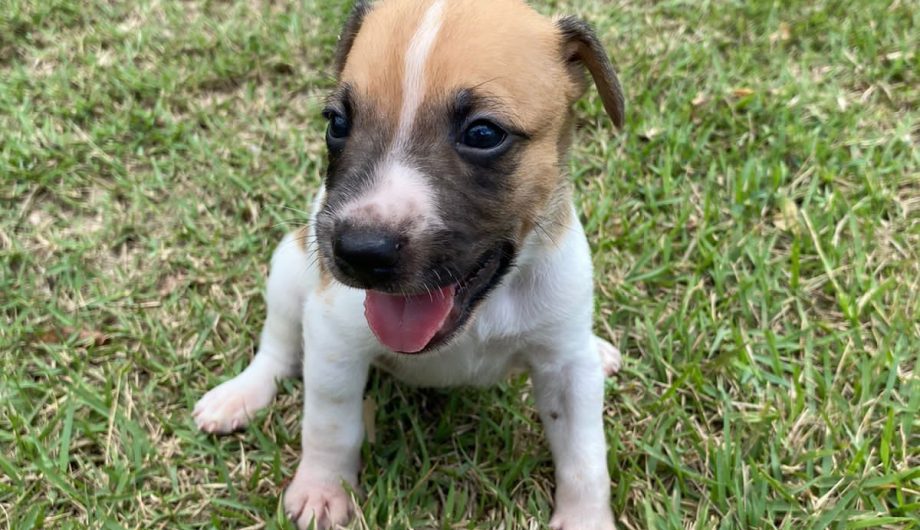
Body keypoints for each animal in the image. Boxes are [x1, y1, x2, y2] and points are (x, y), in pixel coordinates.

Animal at [194, 2, 624, 524]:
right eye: (336, 123)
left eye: (484, 134)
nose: (359, 251)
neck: (485, 308)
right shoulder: (335, 342)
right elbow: (330, 425)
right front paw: (321, 490)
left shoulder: (566, 370)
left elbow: (584, 455)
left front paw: (585, 519)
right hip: (288, 269)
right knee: (277, 346)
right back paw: (241, 394)